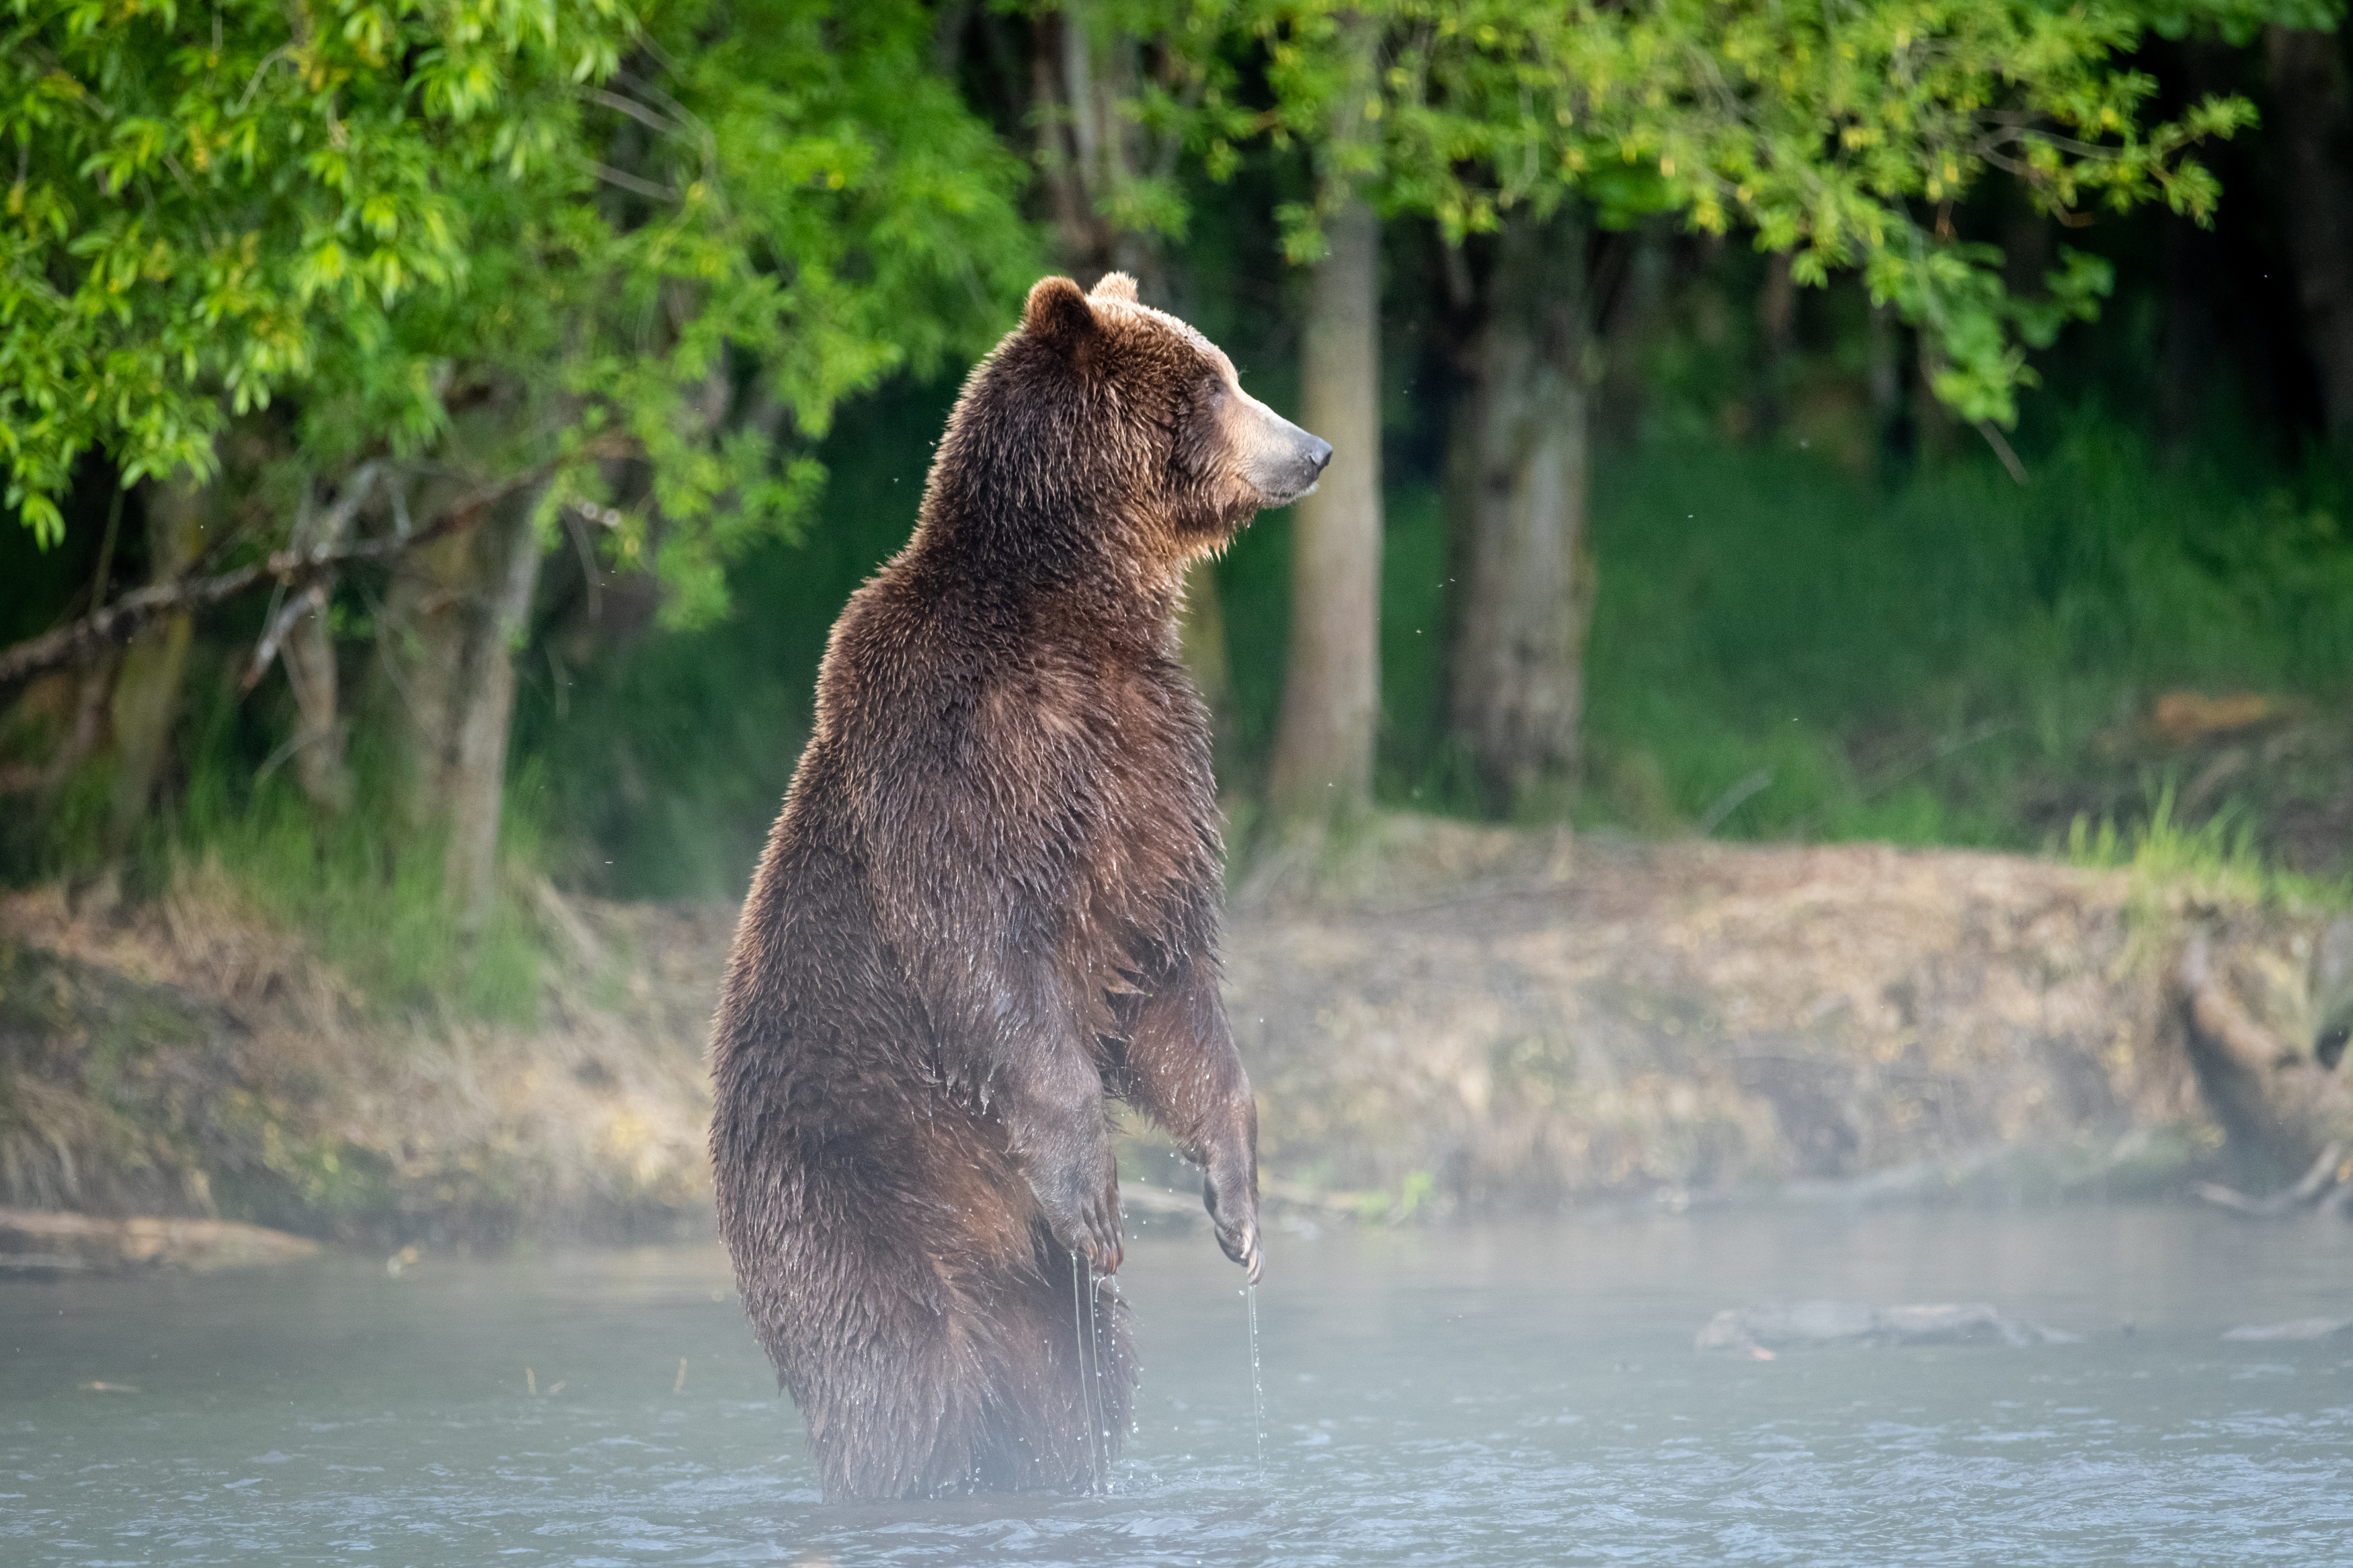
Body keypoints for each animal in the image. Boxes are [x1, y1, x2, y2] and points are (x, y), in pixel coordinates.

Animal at [701, 272, 1327, 1504]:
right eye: (1216, 383)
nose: (1316, 448)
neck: (1073, 596)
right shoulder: (962, 739)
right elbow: (980, 946)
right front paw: (1100, 1191)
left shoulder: (1152, 764)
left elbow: (1166, 978)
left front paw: (1239, 1206)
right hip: (845, 1188)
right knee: (896, 1371)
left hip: (1038, 1289)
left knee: (1078, 1385)